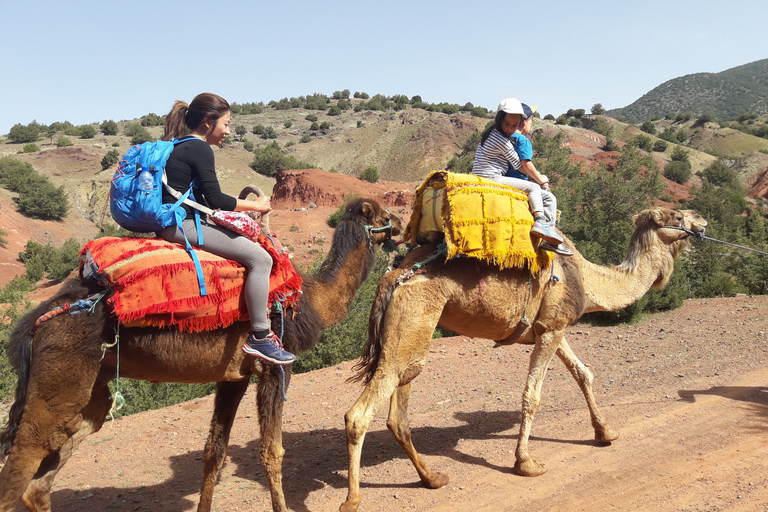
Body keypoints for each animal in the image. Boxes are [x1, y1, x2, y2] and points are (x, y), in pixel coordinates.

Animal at [0, 197, 404, 512]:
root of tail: (39, 319)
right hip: (60, 377)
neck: (312, 300)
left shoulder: (235, 375)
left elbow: (214, 452)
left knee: (42, 479)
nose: (401, 223)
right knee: (19, 467)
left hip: (89, 389)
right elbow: (272, 451)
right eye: (383, 213)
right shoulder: (276, 367)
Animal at [342, 206, 708, 510]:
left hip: (411, 337)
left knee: (398, 412)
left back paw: (432, 478)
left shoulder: (551, 327)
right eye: (677, 216)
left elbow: (583, 373)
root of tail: (392, 276)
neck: (586, 278)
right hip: (412, 321)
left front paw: (606, 433)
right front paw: (526, 463)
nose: (702, 220)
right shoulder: (552, 330)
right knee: (359, 414)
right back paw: (353, 500)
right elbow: (532, 395)